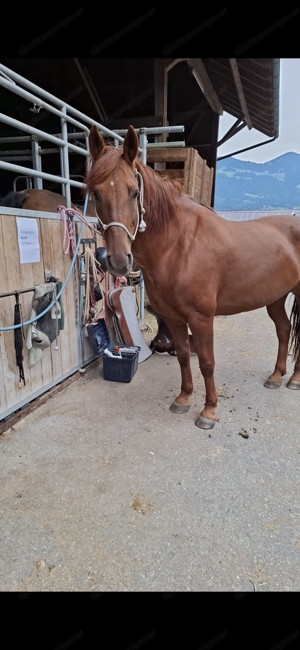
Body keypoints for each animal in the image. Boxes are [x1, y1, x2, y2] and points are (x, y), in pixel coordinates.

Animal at [84, 125, 300, 430]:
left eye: (134, 192)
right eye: (96, 193)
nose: (117, 260)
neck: (179, 245)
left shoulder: (201, 318)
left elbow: (207, 363)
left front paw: (208, 411)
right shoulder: (174, 318)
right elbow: (184, 356)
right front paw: (183, 399)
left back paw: (294, 379)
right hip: (276, 298)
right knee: (283, 330)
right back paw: (276, 376)